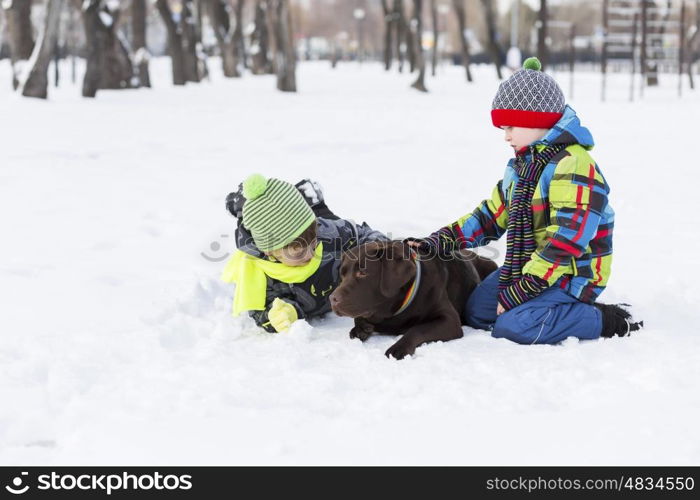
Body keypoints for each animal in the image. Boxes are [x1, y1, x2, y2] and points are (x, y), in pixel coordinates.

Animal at [330, 239, 498, 360]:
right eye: (342, 274)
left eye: (363, 273)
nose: (332, 298)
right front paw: (361, 328)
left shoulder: (449, 319)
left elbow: (417, 329)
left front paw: (398, 348)